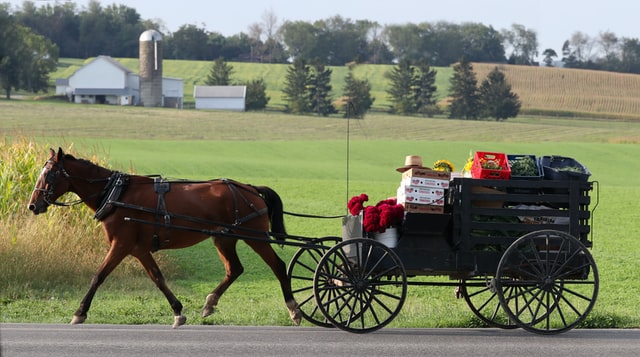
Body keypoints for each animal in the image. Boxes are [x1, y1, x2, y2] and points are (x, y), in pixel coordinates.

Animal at [27, 147, 302, 328]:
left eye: (49, 174)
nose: (33, 205)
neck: (116, 194)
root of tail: (250, 188)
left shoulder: (122, 244)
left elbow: (98, 276)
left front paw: (80, 312)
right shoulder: (138, 248)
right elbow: (157, 277)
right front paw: (178, 311)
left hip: (254, 236)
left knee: (278, 266)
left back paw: (294, 309)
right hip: (223, 238)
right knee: (234, 269)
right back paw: (210, 303)